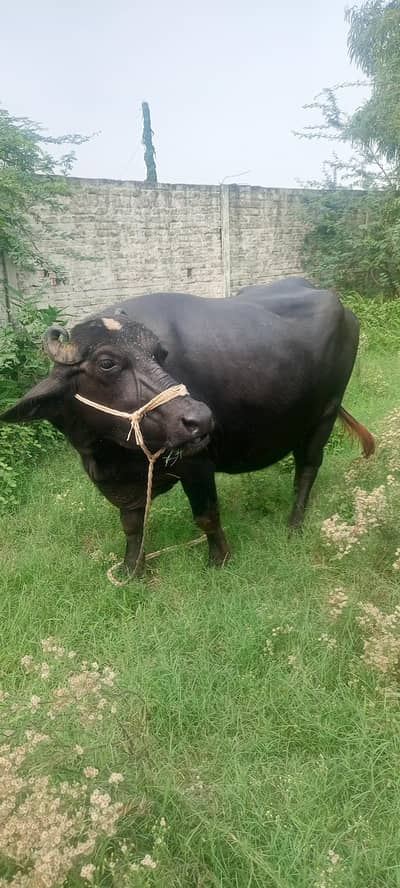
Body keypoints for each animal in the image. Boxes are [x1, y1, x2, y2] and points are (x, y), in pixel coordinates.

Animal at [1, 277, 374, 582]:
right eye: (107, 363)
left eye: (159, 353)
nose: (200, 418)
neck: (108, 454)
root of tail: (343, 309)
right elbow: (131, 525)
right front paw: (132, 568)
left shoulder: (196, 462)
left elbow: (207, 516)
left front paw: (219, 560)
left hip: (325, 412)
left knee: (307, 467)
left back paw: (294, 524)